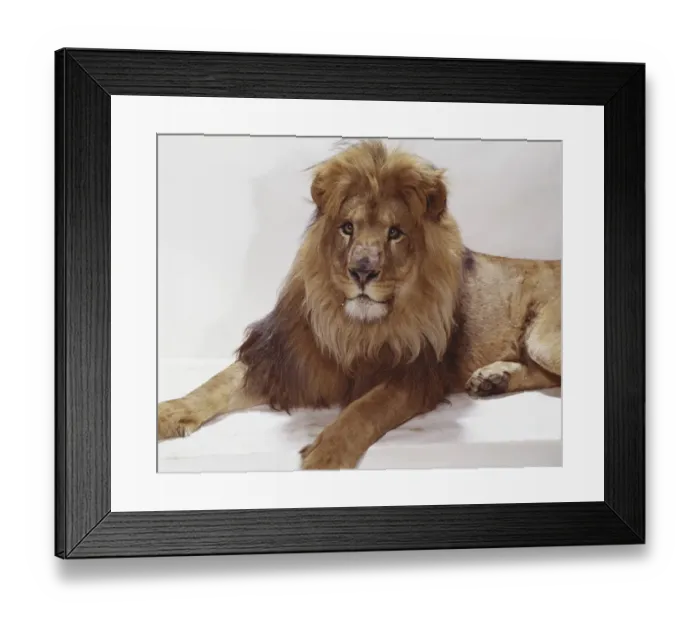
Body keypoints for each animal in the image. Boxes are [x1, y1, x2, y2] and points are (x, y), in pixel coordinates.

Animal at [157, 139, 562, 470]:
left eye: (395, 233)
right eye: (347, 228)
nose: (362, 271)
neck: (352, 325)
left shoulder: (413, 374)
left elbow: (365, 409)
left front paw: (325, 455)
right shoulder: (281, 359)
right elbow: (217, 383)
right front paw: (170, 411)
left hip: (543, 339)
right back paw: (493, 379)